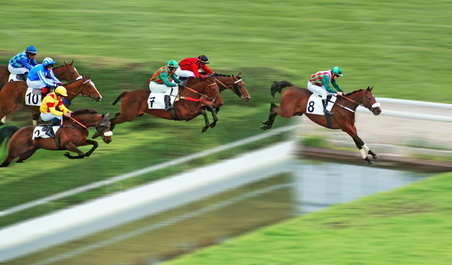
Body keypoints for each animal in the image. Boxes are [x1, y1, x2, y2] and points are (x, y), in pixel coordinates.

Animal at [94, 74, 224, 136]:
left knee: (116, 116)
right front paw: (206, 126)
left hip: (131, 114)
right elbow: (203, 111)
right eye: (213, 89)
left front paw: (213, 122)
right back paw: (102, 132)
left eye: (219, 88)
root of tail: (128, 93)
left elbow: (208, 108)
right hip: (128, 115)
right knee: (113, 120)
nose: (220, 102)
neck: (187, 95)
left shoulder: (197, 106)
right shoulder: (185, 115)